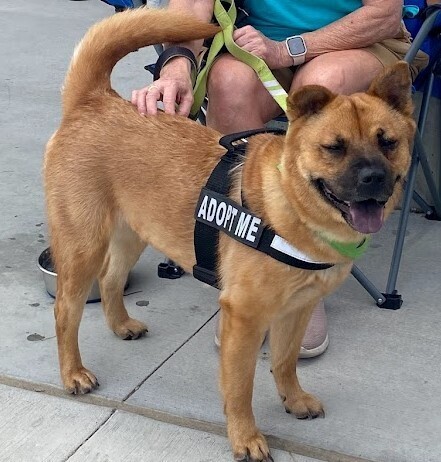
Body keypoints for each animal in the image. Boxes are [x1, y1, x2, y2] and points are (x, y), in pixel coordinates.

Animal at [44, 7, 416, 462]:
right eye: (335, 147)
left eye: (388, 142)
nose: (373, 178)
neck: (290, 204)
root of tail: (95, 99)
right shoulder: (244, 318)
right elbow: (241, 389)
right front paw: (245, 437)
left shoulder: (297, 310)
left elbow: (285, 362)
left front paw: (293, 400)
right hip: (82, 246)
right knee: (66, 311)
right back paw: (74, 373)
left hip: (133, 233)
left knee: (111, 279)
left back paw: (121, 325)